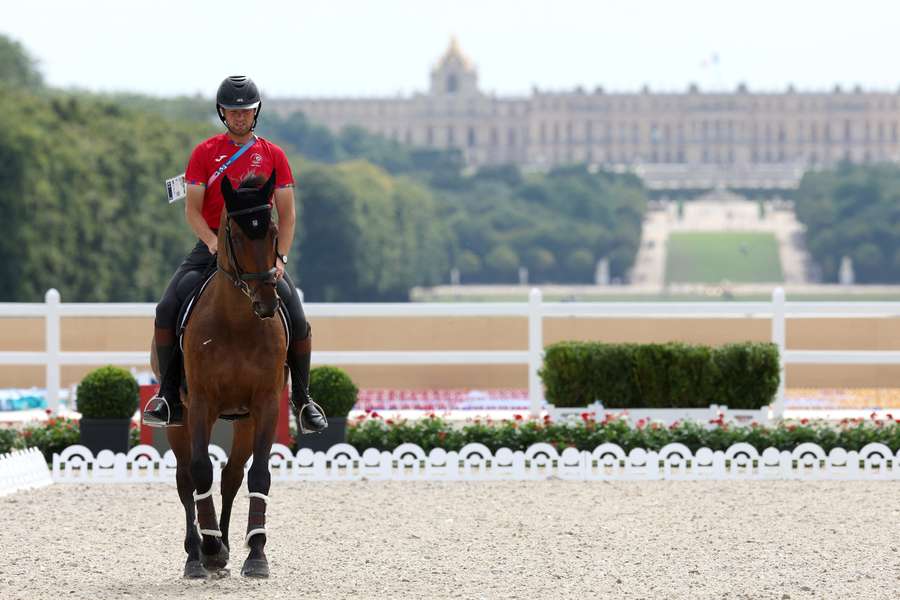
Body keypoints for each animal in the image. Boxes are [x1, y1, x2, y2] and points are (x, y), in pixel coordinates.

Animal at [151, 171, 284, 580]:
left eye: (273, 231)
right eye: (236, 236)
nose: (266, 301)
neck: (238, 322)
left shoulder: (265, 405)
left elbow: (258, 475)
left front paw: (255, 554)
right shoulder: (201, 404)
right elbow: (199, 471)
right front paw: (209, 551)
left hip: (242, 420)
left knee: (232, 476)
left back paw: (224, 545)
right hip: (178, 419)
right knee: (185, 478)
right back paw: (197, 555)